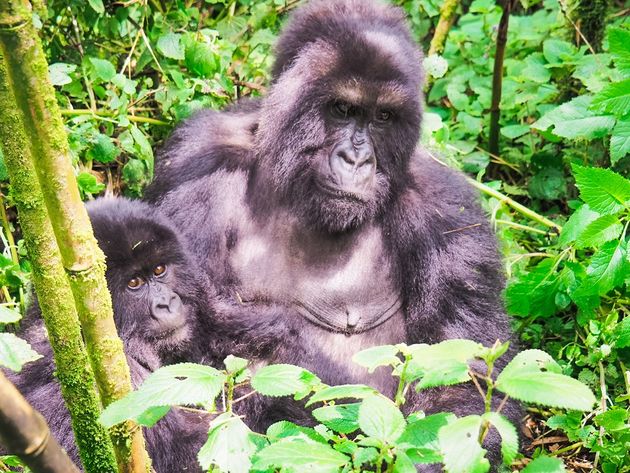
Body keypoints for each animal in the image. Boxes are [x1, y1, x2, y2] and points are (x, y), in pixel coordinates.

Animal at [147, 0, 520, 464]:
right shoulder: (197, 161)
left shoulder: (445, 209)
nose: (357, 160)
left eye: (382, 117)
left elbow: (467, 379)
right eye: (342, 109)